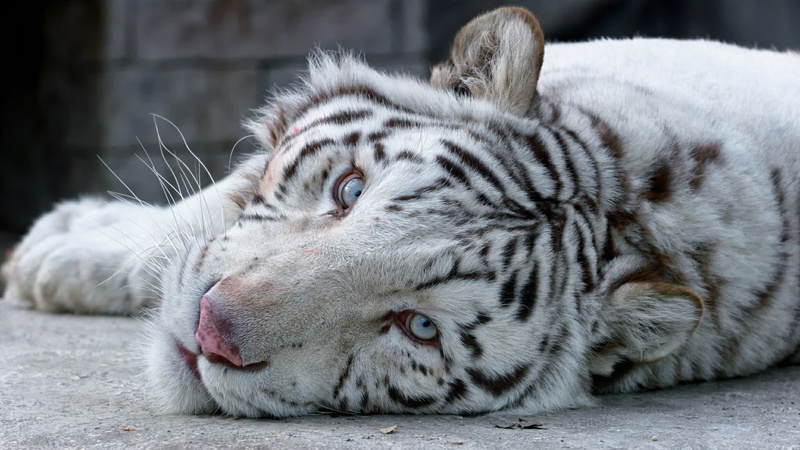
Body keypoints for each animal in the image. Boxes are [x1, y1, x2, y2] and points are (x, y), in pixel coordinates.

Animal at [2, 6, 800, 418]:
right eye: (351, 190)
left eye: (419, 328)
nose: (210, 329)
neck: (637, 202)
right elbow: (206, 208)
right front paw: (61, 246)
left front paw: (54, 255)